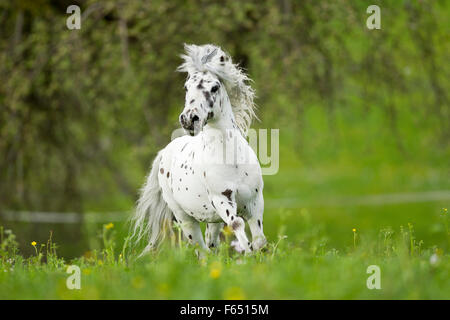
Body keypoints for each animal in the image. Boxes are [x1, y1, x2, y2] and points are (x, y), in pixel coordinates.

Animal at [130, 43, 266, 256]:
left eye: (215, 87)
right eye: (187, 87)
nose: (188, 119)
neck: (231, 160)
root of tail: (164, 152)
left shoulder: (255, 201)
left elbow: (260, 241)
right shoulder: (223, 200)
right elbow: (237, 224)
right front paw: (247, 254)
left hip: (213, 220)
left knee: (211, 244)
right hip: (185, 219)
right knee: (201, 250)